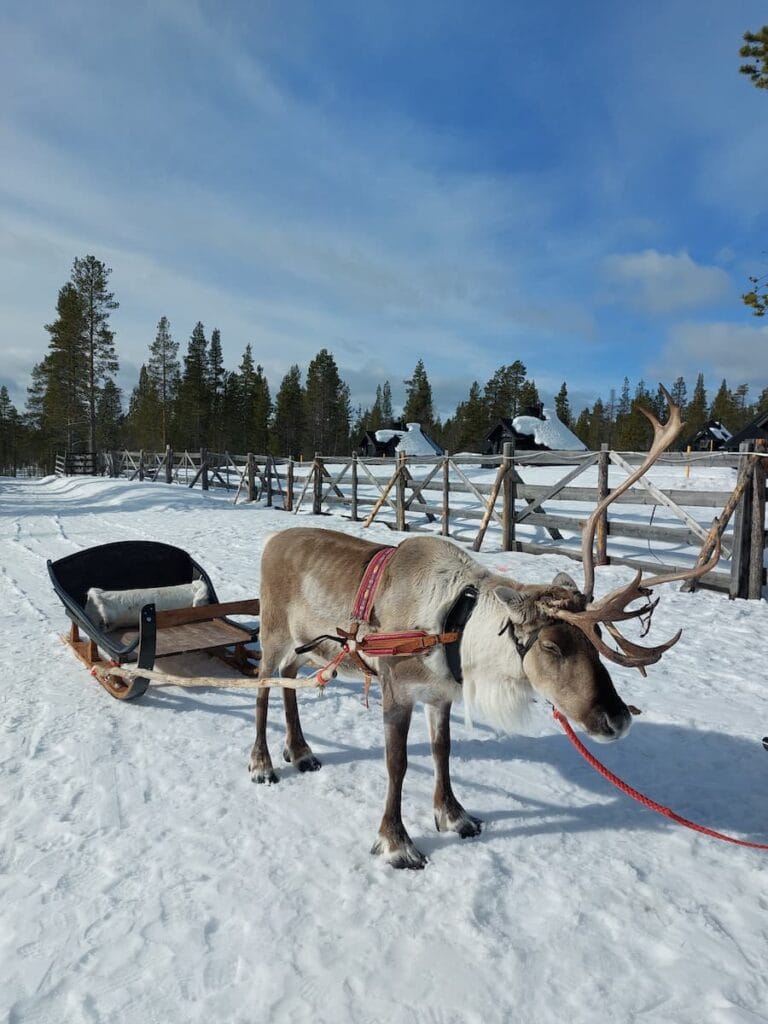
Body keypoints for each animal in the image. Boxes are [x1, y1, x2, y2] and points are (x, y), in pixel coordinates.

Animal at [248, 389, 719, 868]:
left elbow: (442, 752)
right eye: (551, 646)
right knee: (262, 684)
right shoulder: (396, 689)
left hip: (306, 646)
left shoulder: (440, 695)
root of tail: (271, 542)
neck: (454, 627)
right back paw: (263, 763)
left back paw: (300, 751)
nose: (617, 718)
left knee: (287, 679)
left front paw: (454, 816)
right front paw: (396, 842)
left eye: (598, 639)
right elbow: (397, 764)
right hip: (273, 634)